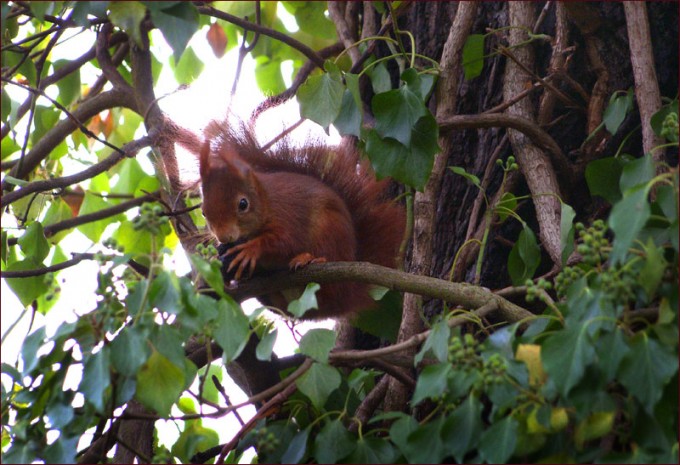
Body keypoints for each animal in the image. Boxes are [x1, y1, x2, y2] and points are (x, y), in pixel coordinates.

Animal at [196, 121, 405, 319]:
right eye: (204, 212)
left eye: (243, 204)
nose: (224, 237)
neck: (266, 202)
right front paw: (223, 251)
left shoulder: (288, 216)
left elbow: (284, 241)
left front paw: (251, 249)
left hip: (329, 231)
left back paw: (310, 258)